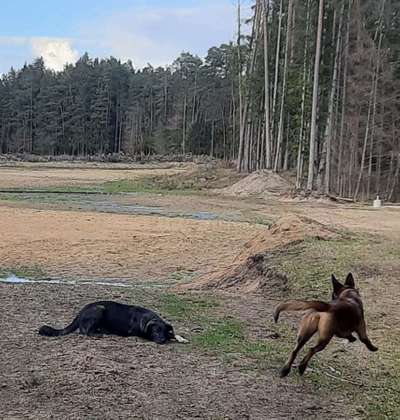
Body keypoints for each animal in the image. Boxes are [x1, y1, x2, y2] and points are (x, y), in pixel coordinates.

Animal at [38, 302, 188, 344]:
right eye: (156, 331)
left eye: (163, 331)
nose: (162, 340)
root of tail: (81, 312)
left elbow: (174, 334)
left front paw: (181, 338)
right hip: (99, 309)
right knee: (83, 331)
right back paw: (97, 334)